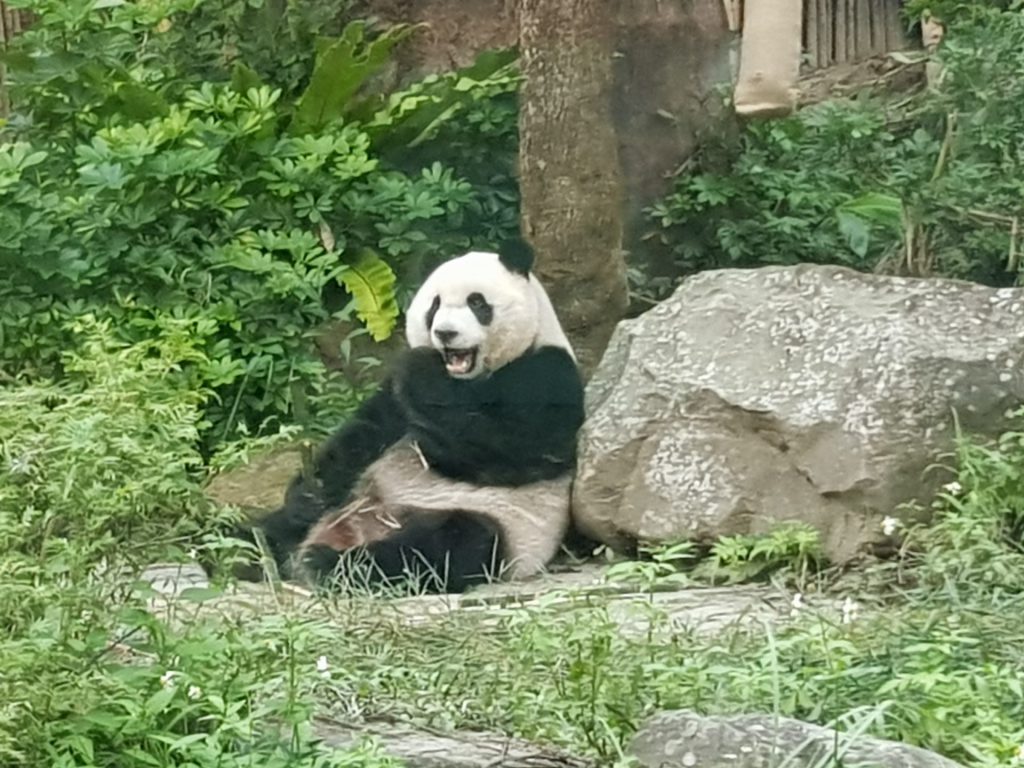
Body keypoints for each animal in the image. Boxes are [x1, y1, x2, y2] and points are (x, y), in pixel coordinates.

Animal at [231, 240, 585, 593]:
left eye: (477, 302)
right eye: (435, 305)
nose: (445, 333)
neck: (468, 379)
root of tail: (354, 527)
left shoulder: (548, 375)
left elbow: (510, 449)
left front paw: (422, 369)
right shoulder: (391, 398)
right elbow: (364, 433)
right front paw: (308, 493)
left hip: (497, 524)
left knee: (447, 545)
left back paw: (331, 563)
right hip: (346, 502)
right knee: (271, 527)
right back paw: (245, 552)